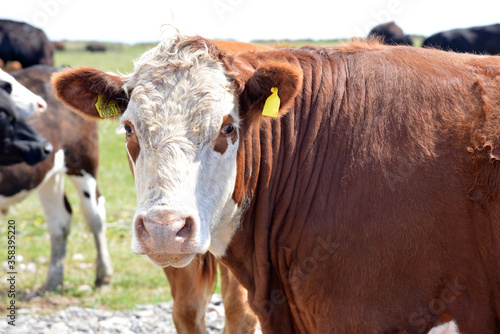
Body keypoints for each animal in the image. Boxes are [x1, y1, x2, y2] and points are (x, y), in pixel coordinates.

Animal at [0, 65, 112, 290]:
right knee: (60, 220)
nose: (39, 104)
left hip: (82, 163)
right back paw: (53, 279)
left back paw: (103, 275)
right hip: (48, 175)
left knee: (95, 215)